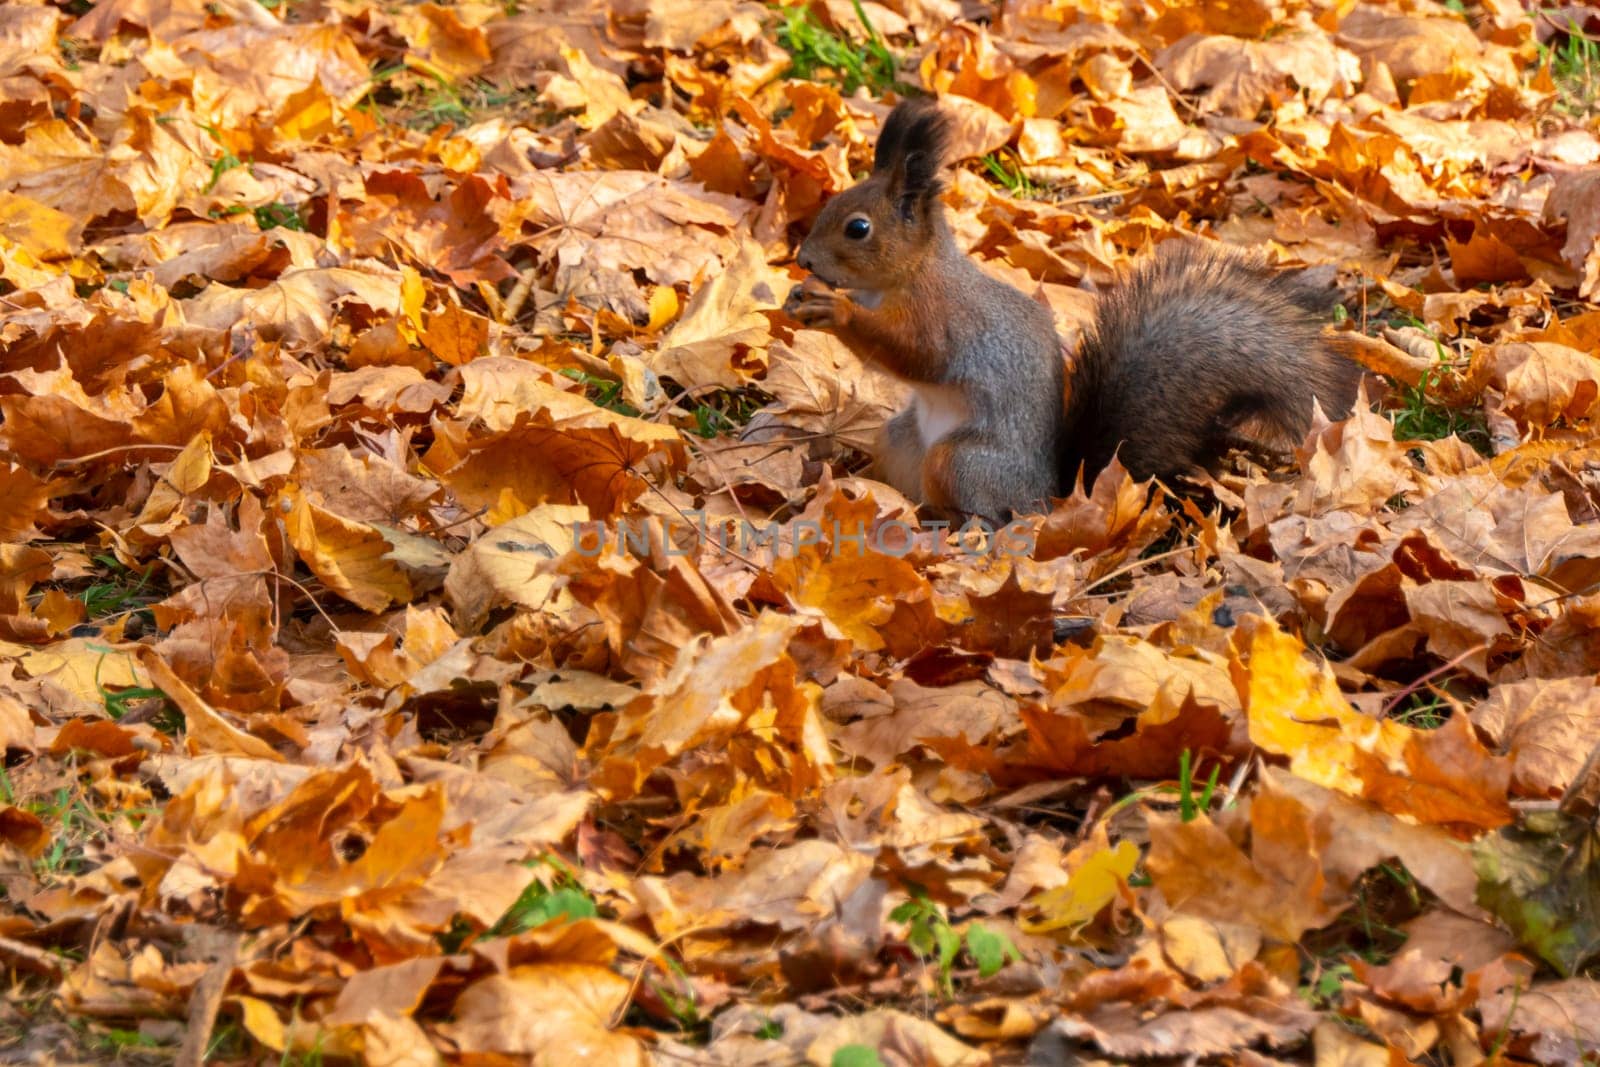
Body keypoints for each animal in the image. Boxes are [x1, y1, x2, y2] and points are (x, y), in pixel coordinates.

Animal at [780, 95, 1356, 521]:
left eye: (858, 228)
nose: (803, 258)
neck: (908, 275)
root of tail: (1048, 494)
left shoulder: (942, 316)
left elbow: (916, 356)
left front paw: (835, 311)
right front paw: (802, 296)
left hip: (962, 461)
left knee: (983, 511)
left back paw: (952, 523)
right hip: (899, 440)